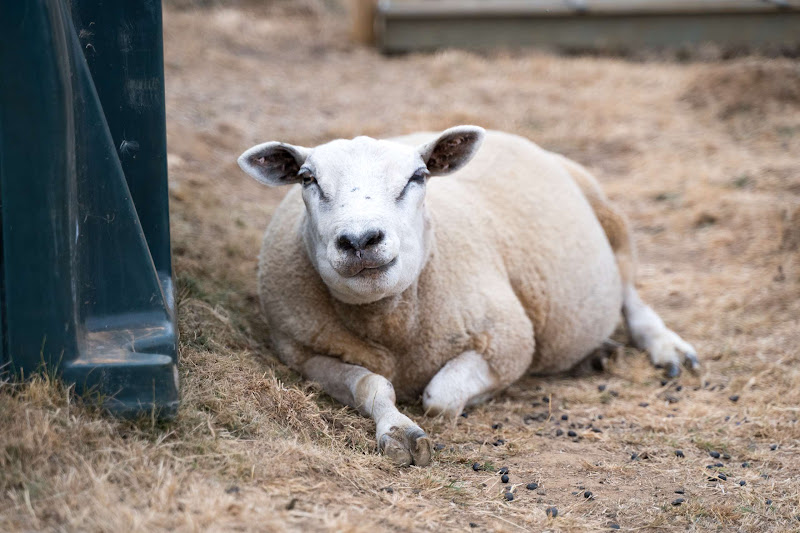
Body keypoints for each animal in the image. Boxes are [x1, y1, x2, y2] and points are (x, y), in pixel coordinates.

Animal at [238, 126, 698, 466]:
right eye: (308, 179)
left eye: (418, 177)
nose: (360, 240)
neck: (392, 331)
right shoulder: (301, 353)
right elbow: (370, 385)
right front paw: (398, 431)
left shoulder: (510, 340)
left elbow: (440, 399)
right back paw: (598, 353)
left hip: (612, 223)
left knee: (630, 294)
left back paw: (664, 346)